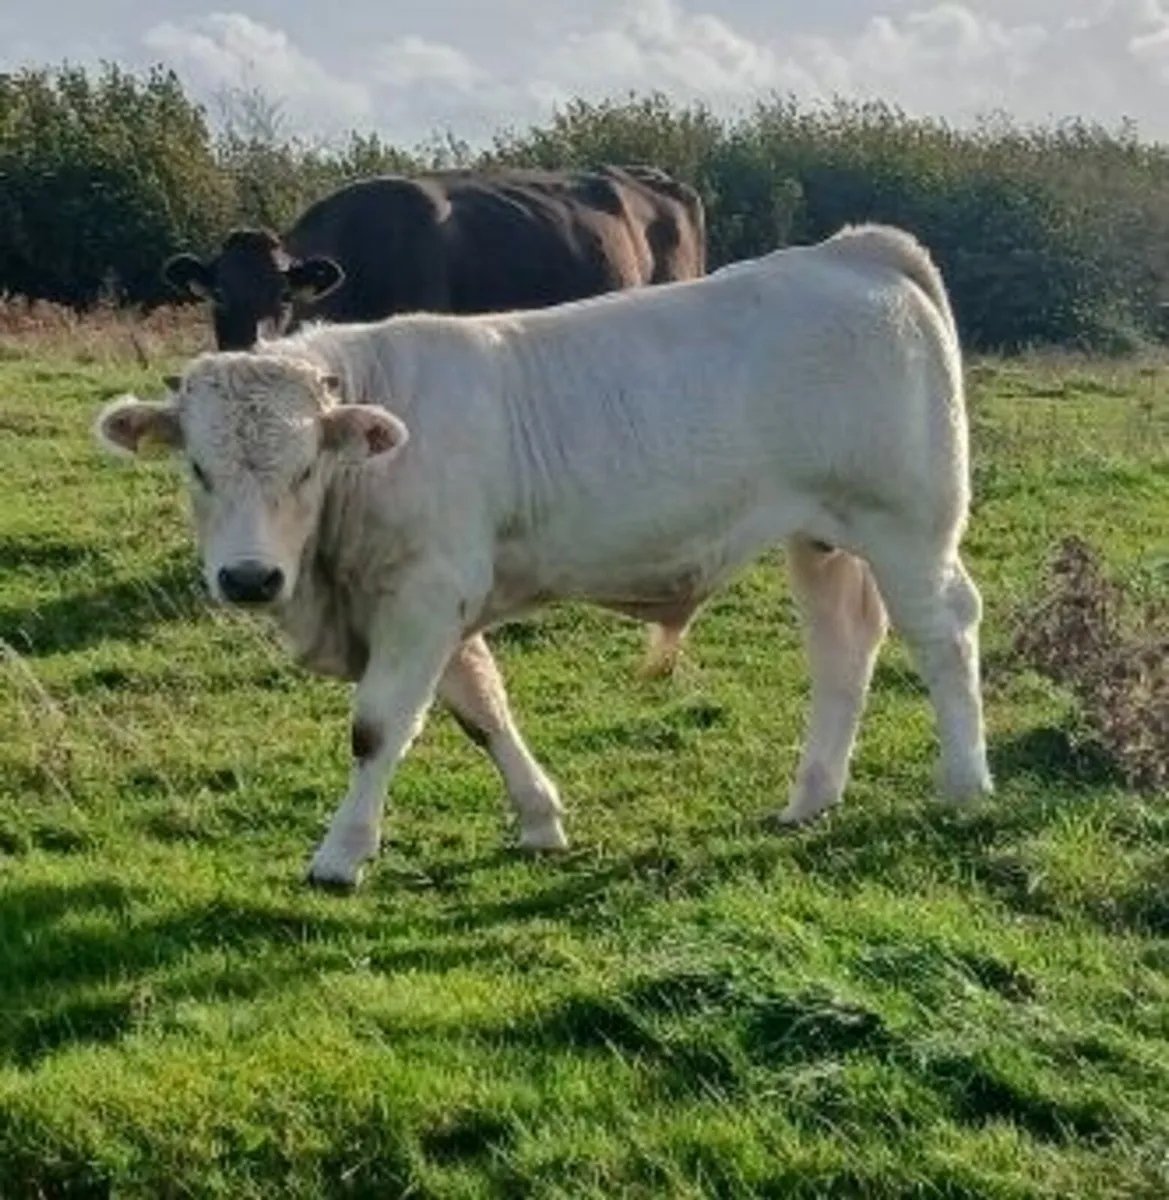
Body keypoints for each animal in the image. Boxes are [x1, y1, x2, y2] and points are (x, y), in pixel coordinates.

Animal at [97, 222, 994, 891]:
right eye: (197, 468)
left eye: (306, 467)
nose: (249, 577)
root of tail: (853, 250)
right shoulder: (436, 601)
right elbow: (481, 711)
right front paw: (539, 819)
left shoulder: (424, 594)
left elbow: (377, 727)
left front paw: (339, 855)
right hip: (822, 536)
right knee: (843, 646)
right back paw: (810, 798)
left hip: (906, 523)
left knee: (943, 633)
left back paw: (962, 784)